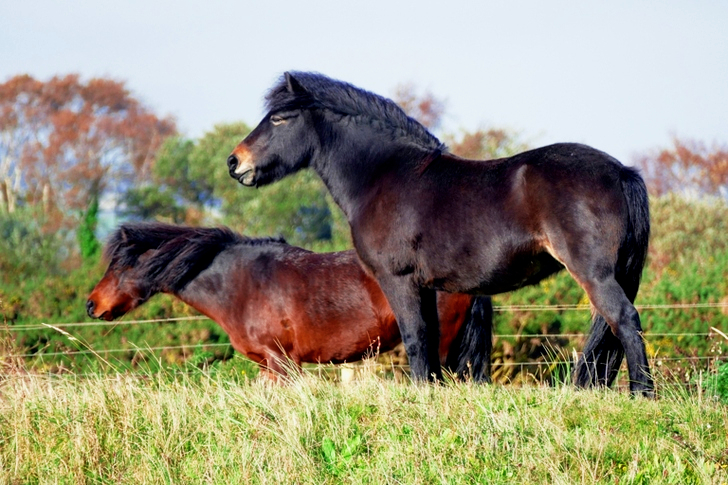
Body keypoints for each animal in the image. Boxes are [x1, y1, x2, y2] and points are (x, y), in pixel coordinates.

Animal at [226, 71, 653, 396]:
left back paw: (642, 393)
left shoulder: (398, 279)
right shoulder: (428, 286)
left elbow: (415, 338)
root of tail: (620, 171)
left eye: (280, 118)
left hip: (594, 274)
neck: (384, 176)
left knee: (625, 320)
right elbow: (430, 342)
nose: (235, 162)